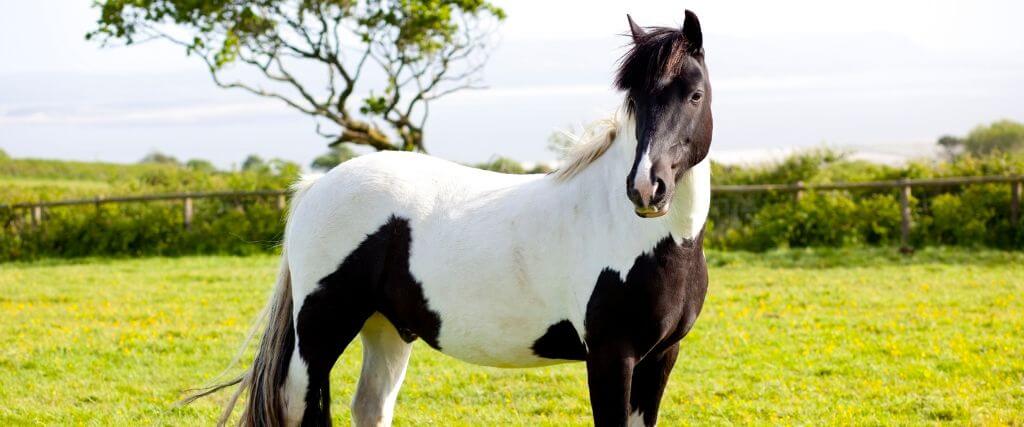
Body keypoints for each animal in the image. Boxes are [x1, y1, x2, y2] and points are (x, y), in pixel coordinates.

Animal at [193, 10, 713, 427]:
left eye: (694, 95)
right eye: (634, 102)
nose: (646, 188)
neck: (646, 241)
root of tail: (317, 185)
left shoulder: (660, 357)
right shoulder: (611, 355)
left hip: (384, 328)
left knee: (370, 407)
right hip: (320, 331)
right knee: (297, 406)